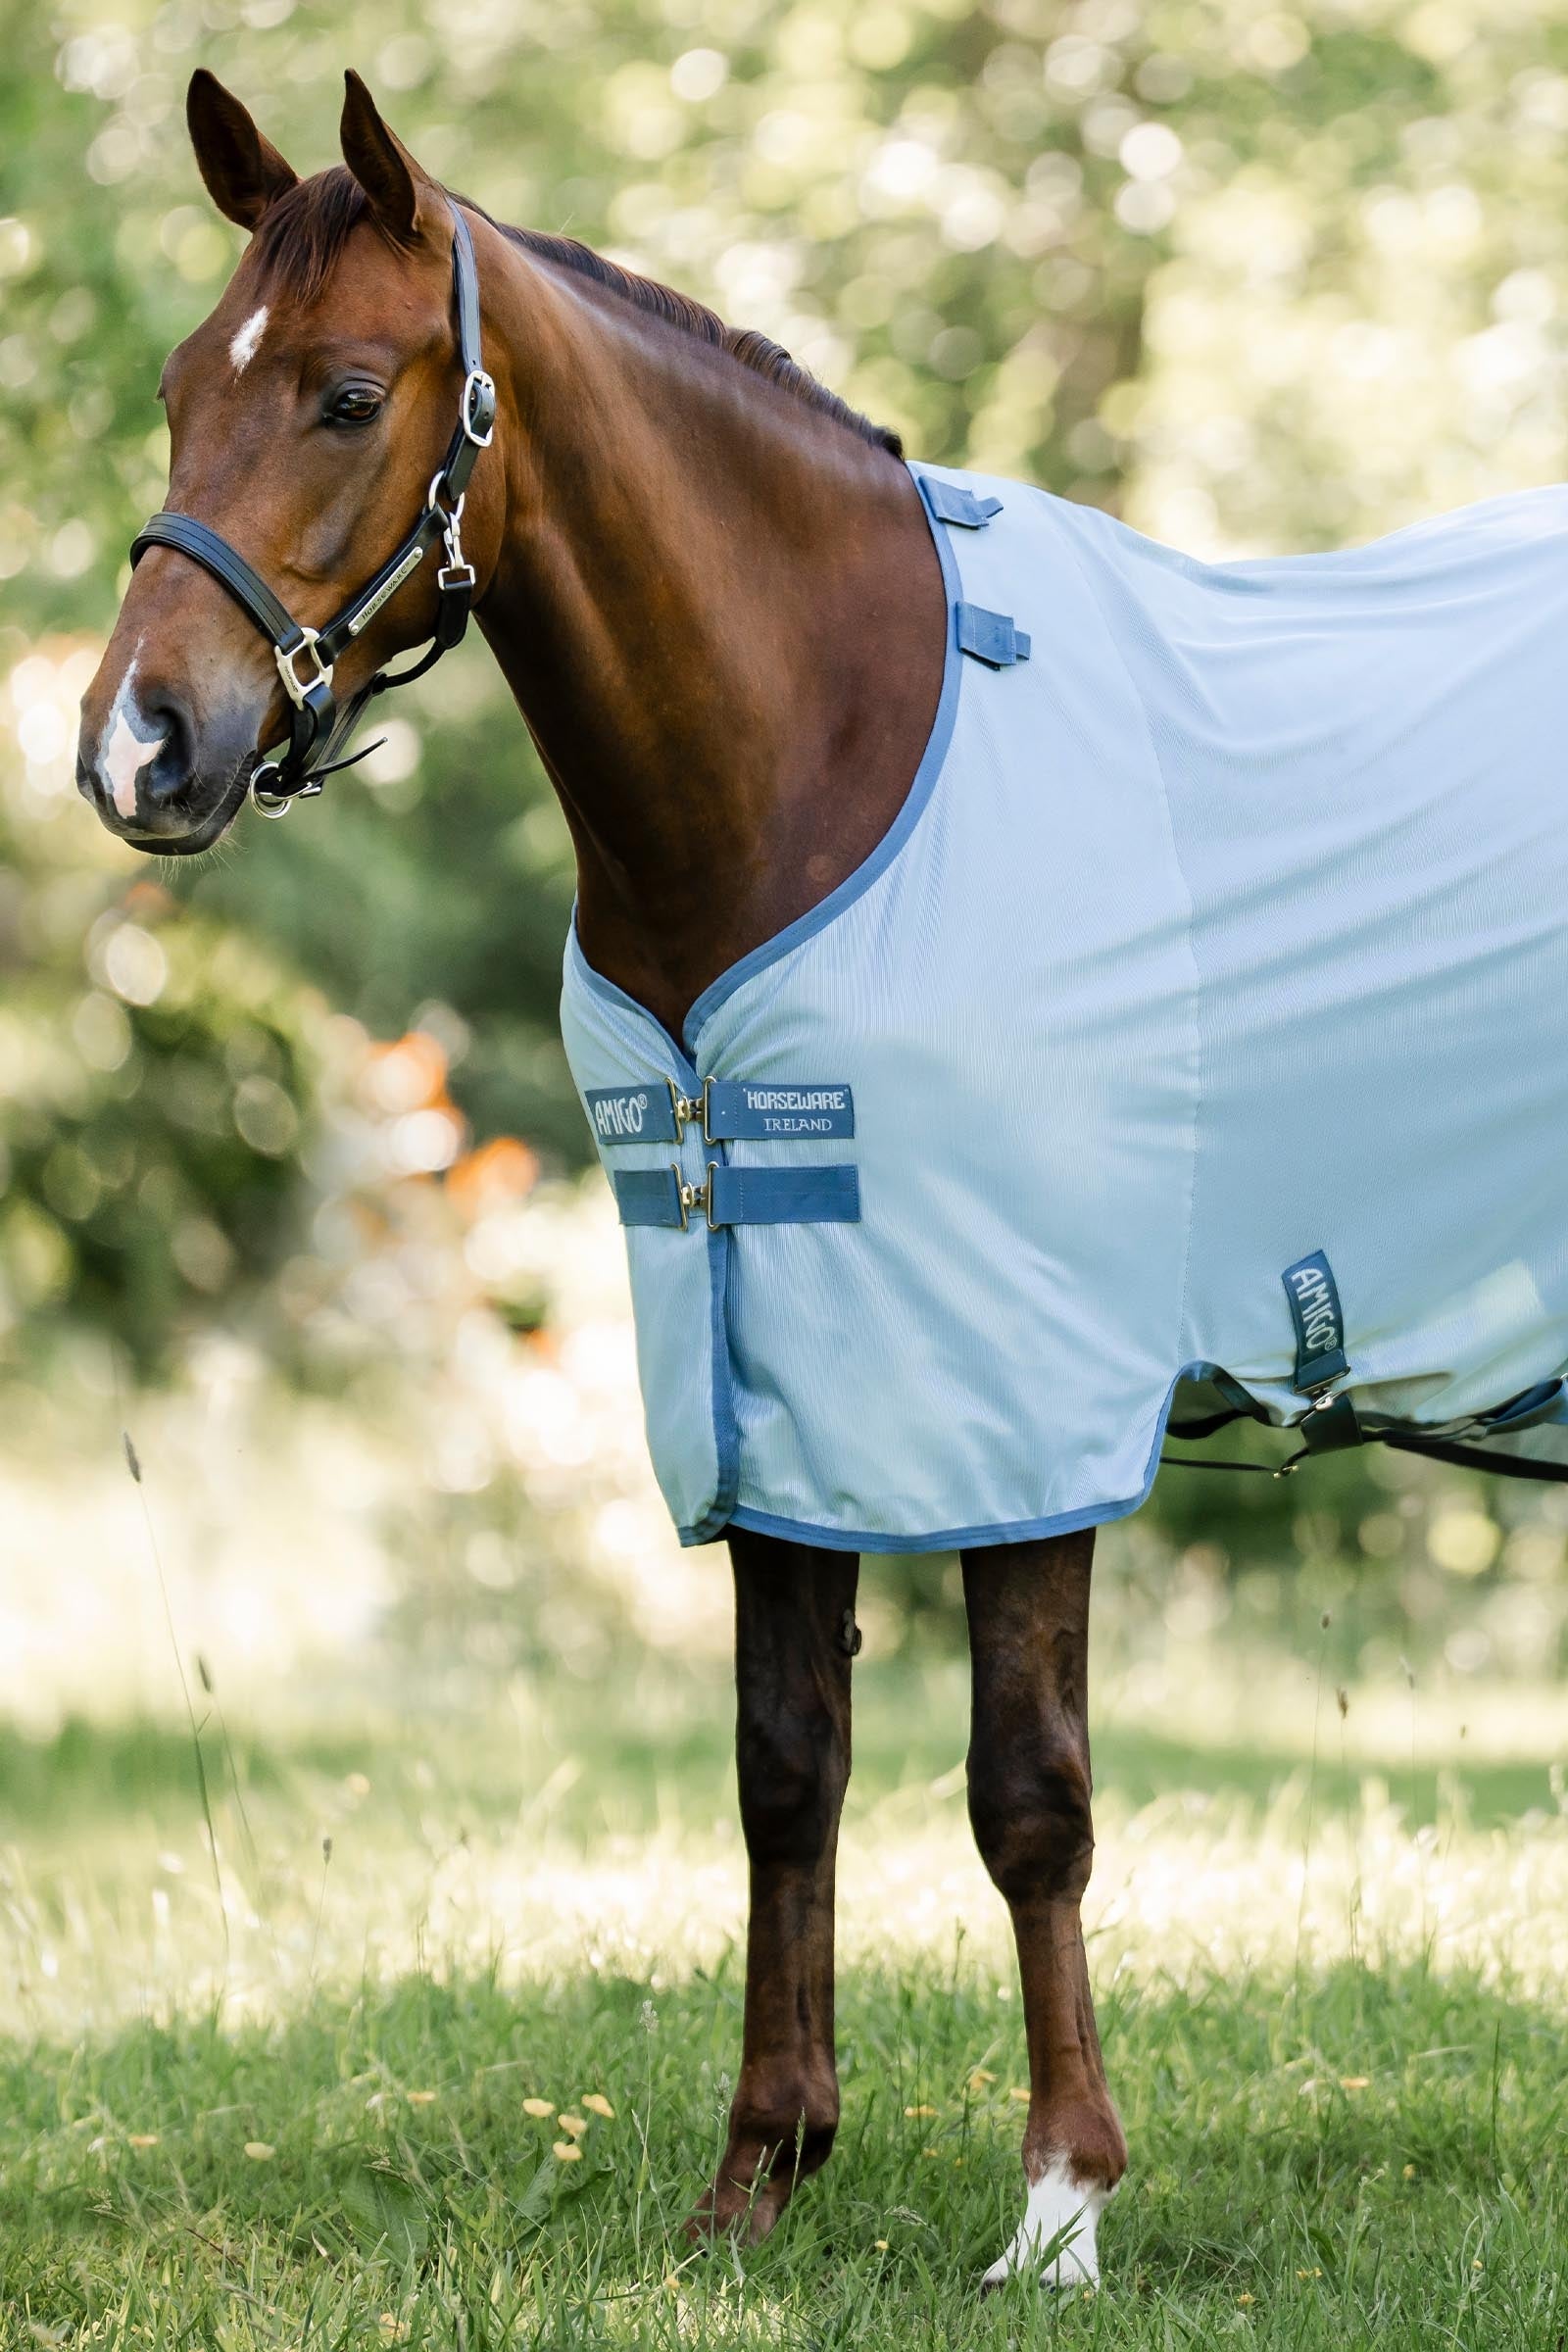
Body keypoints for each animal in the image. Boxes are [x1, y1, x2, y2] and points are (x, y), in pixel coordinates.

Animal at [79, 69, 1568, 2291]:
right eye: (183, 385)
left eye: (346, 396)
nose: (135, 749)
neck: (823, 759)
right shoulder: (770, 1369)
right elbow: (787, 1770)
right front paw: (759, 2171)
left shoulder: (1017, 1384)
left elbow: (1025, 1794)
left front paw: (1059, 2205)